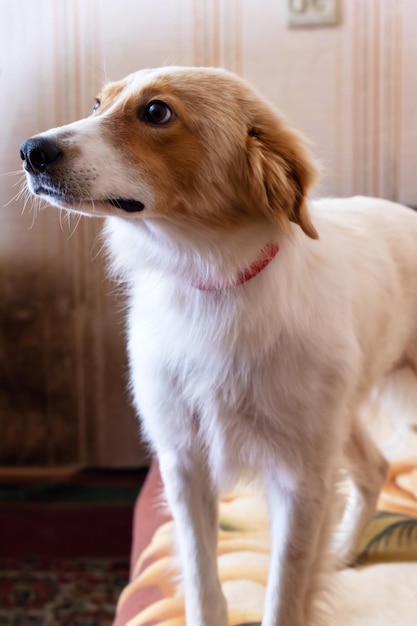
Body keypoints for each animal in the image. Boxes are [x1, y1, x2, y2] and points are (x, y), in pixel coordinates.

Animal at [21, 67, 416, 624]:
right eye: (97, 103)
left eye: (156, 112)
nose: (29, 150)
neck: (213, 282)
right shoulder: (184, 463)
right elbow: (203, 582)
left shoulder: (300, 479)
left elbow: (284, 593)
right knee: (377, 467)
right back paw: (341, 551)